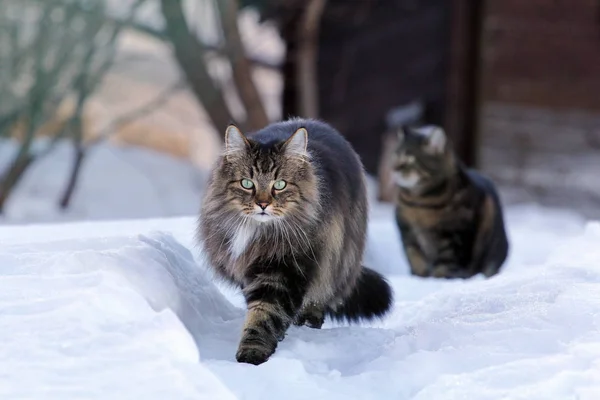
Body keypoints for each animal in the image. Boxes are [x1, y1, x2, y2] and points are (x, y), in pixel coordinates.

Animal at [197, 117, 394, 364]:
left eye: (280, 185)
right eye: (247, 183)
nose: (263, 204)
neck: (259, 233)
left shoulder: (285, 269)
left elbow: (264, 315)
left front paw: (253, 353)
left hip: (334, 266)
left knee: (317, 302)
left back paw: (307, 324)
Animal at [394, 124, 510, 278]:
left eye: (410, 159)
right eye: (396, 155)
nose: (394, 168)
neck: (419, 203)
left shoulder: (456, 234)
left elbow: (447, 261)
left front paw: (441, 277)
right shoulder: (407, 233)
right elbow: (415, 259)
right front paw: (420, 276)